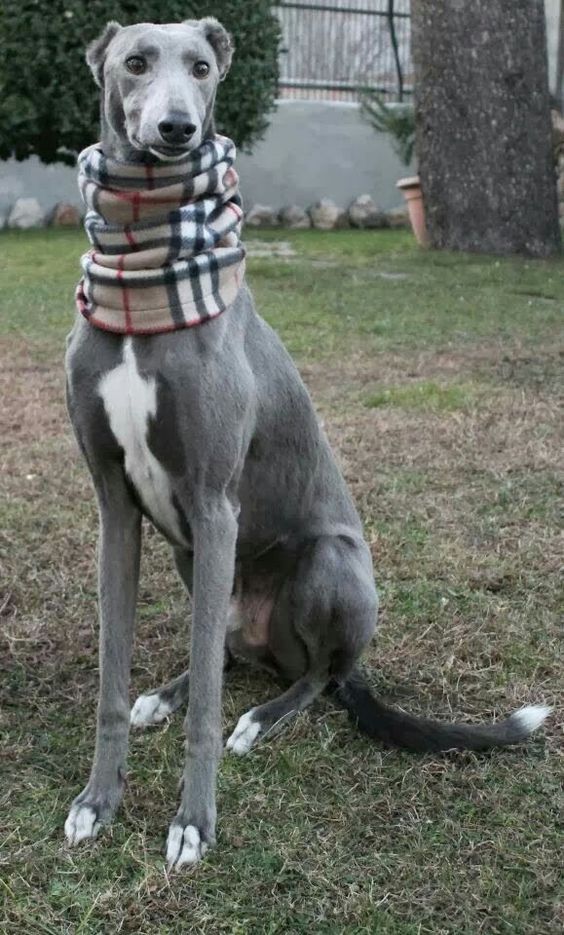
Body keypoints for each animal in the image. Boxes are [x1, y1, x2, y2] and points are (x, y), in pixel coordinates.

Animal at [64, 18, 548, 872]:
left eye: (202, 68)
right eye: (135, 63)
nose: (177, 130)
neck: (146, 276)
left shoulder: (215, 502)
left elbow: (207, 714)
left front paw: (193, 823)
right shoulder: (116, 506)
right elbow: (112, 682)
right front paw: (99, 799)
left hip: (326, 562)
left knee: (319, 674)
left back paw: (266, 715)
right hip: (194, 558)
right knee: (222, 651)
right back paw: (171, 690)